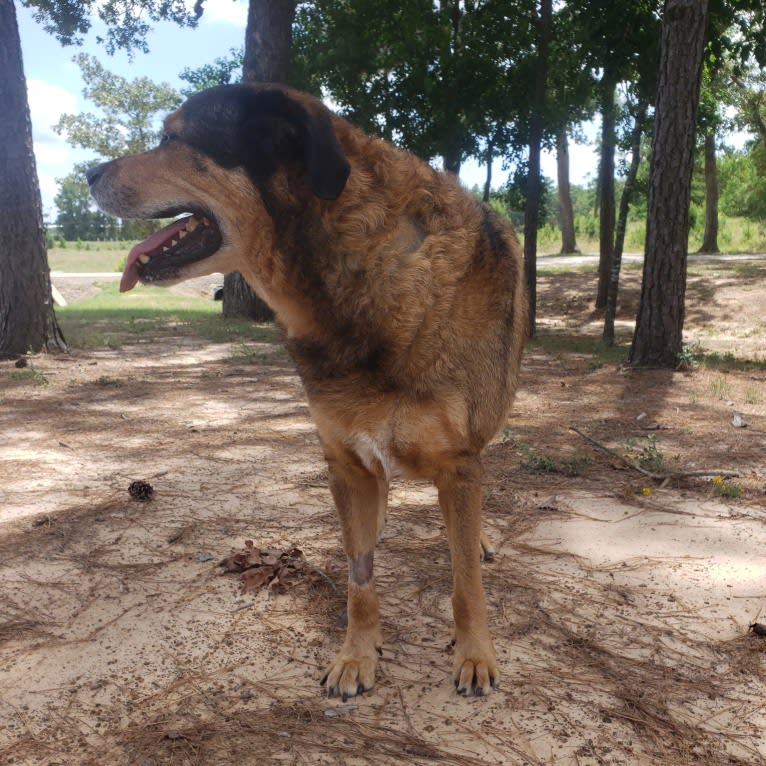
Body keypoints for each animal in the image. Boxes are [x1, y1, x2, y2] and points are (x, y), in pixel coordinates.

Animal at [84, 84, 528, 704]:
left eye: (172, 137)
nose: (88, 173)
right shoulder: (345, 462)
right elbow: (360, 579)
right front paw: (356, 656)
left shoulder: (460, 466)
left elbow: (466, 581)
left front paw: (475, 654)